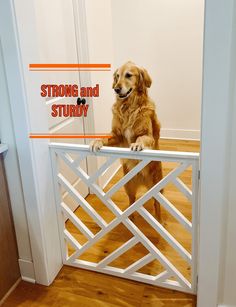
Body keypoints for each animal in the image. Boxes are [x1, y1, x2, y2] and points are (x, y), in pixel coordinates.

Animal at [89, 61, 163, 219]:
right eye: (117, 76)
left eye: (128, 75)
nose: (116, 89)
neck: (129, 106)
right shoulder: (116, 135)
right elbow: (105, 137)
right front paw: (96, 142)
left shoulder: (148, 135)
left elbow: (141, 137)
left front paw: (137, 144)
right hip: (128, 185)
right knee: (132, 202)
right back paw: (131, 218)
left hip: (157, 186)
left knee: (157, 204)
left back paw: (159, 220)